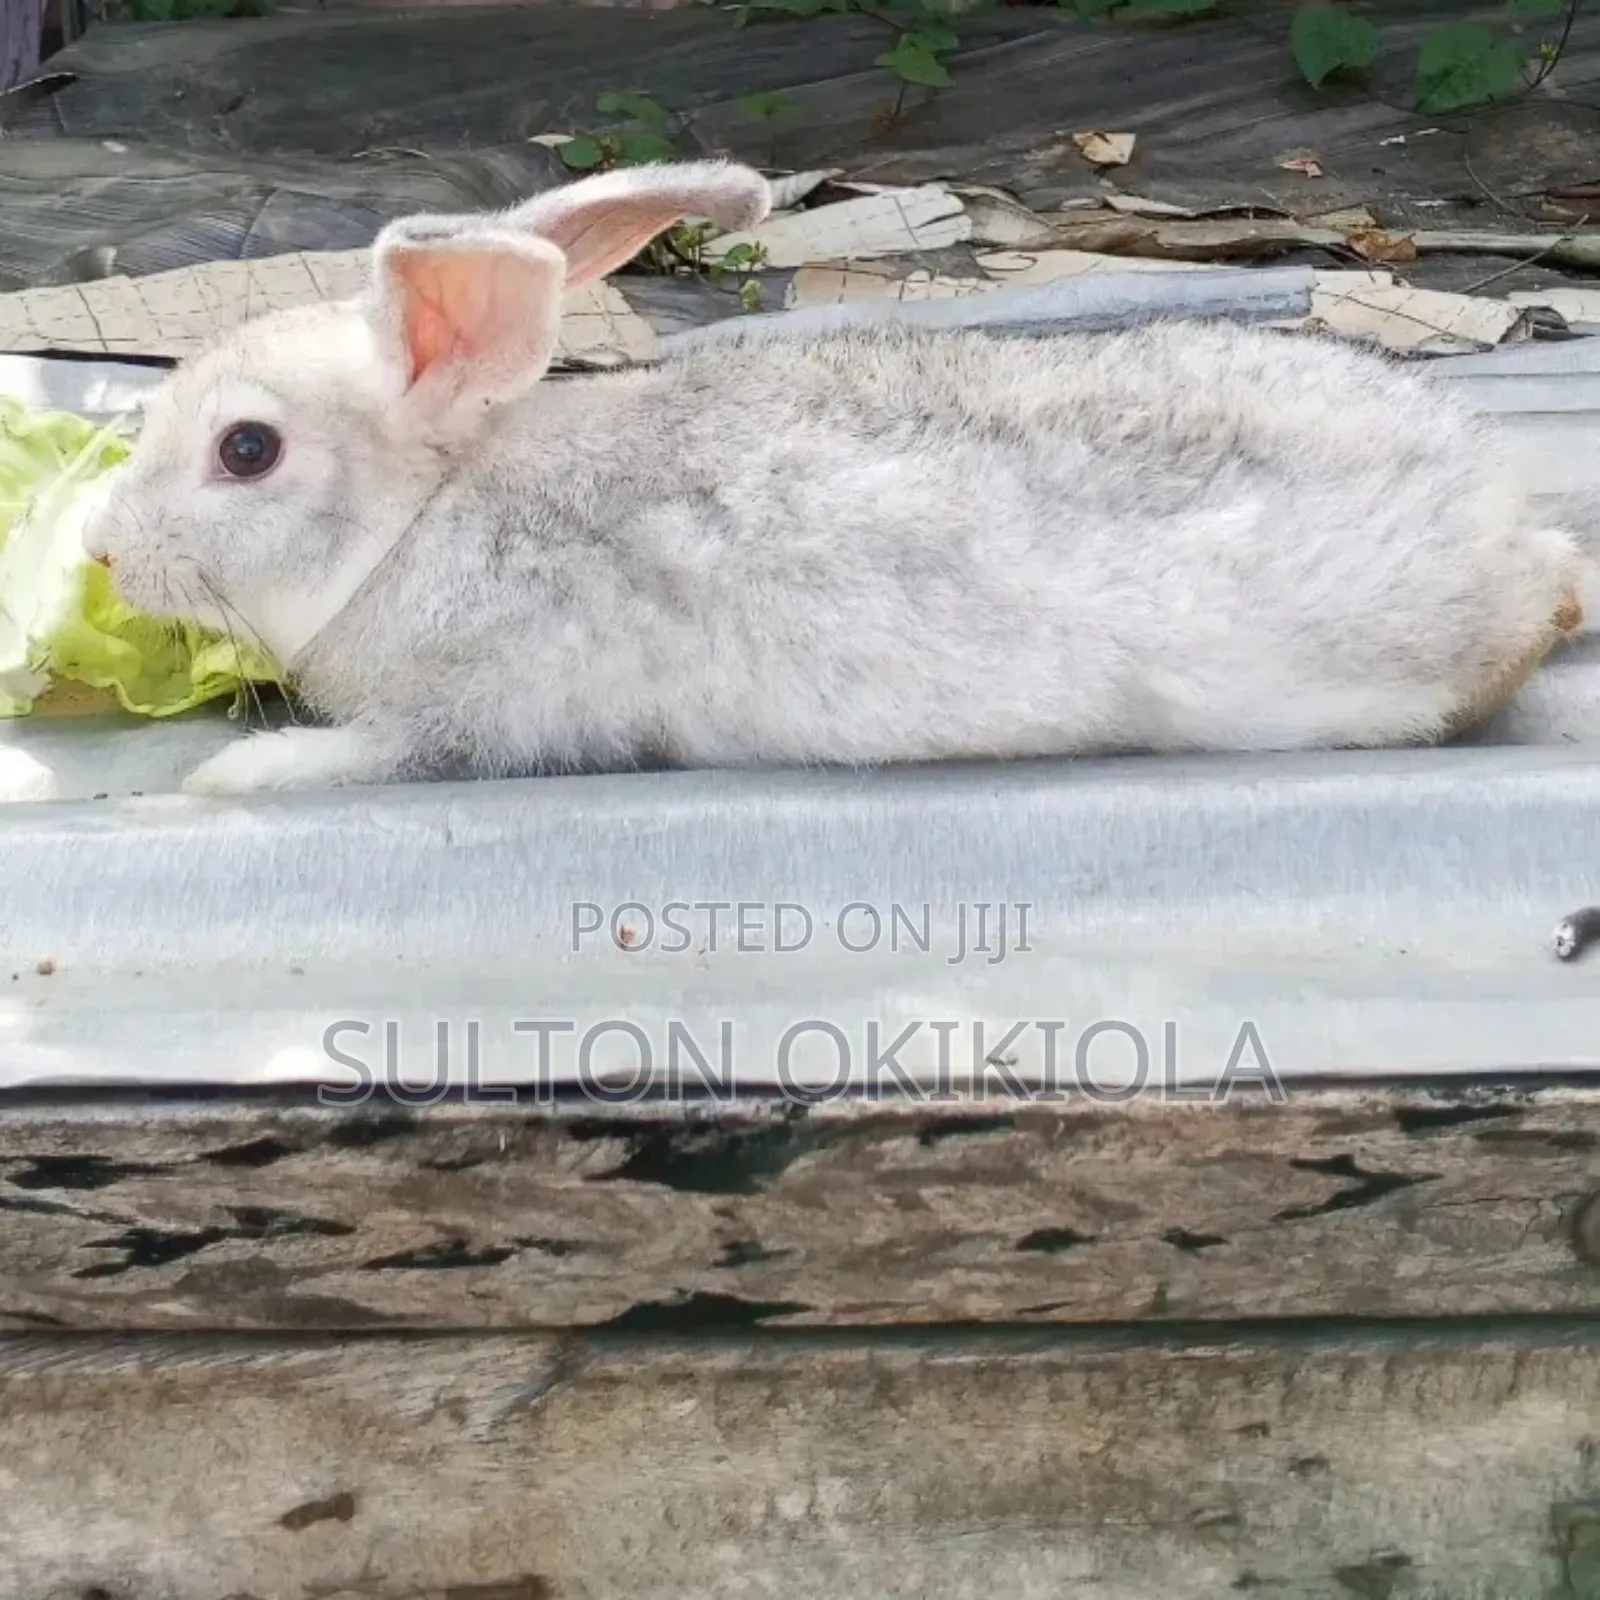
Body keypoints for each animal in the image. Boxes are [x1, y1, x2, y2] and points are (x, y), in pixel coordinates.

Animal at [74, 157, 1586, 799]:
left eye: (247, 451)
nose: (98, 552)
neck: (420, 520)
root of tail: (1494, 518)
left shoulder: (495, 709)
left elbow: (386, 754)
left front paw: (236, 776)